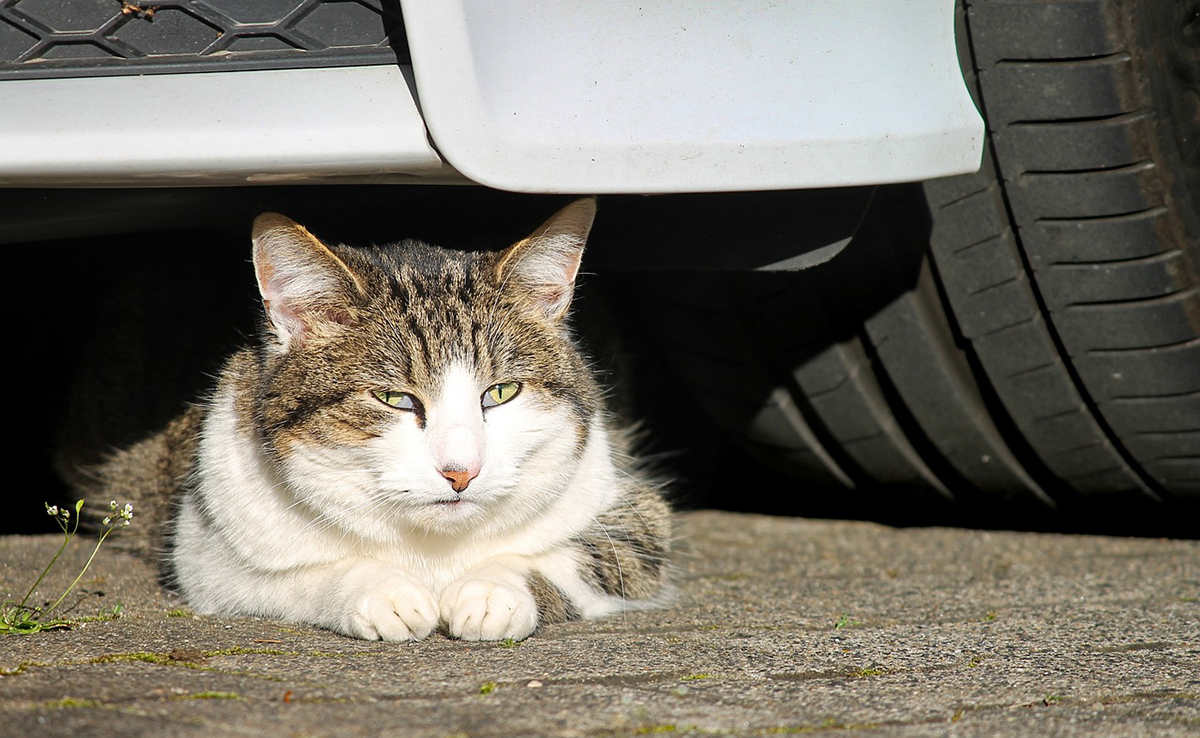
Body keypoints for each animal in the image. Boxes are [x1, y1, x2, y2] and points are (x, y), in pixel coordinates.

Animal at [76, 200, 676, 643]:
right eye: (395, 399)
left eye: (501, 393)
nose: (462, 471)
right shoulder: (207, 552)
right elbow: (292, 577)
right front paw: (384, 591)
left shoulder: (636, 516)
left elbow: (580, 555)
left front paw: (492, 590)